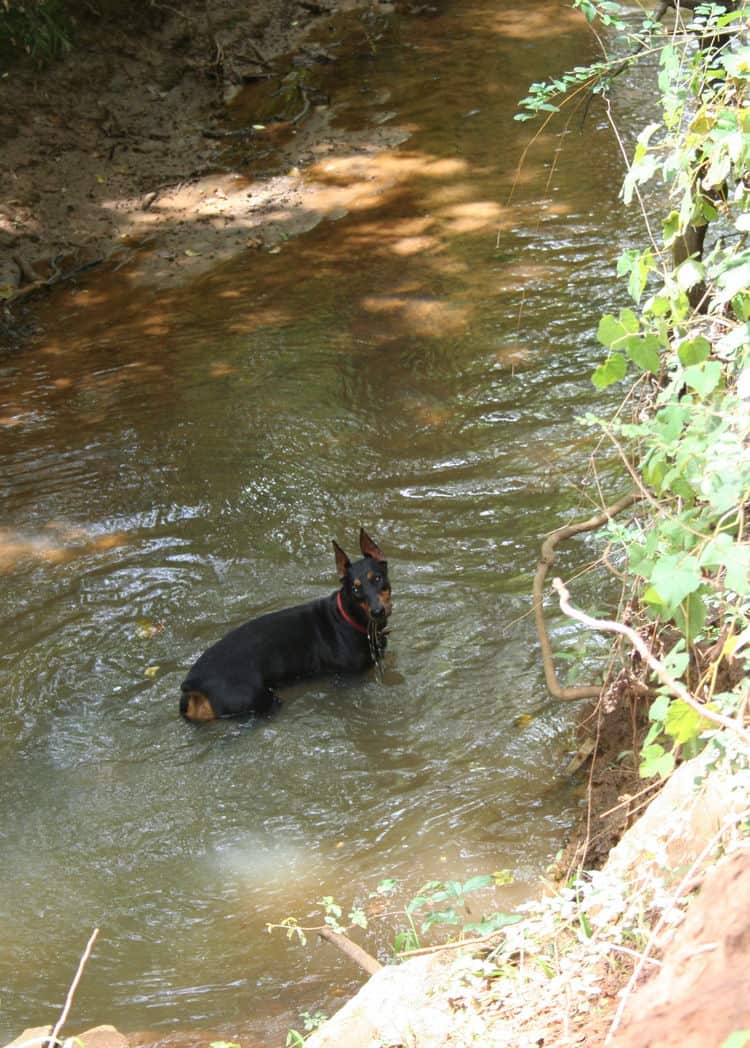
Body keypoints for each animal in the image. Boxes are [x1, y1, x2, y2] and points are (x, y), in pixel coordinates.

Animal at [180, 532, 391, 721]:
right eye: (355, 589)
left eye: (377, 578)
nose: (378, 611)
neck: (349, 618)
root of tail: (194, 685)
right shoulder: (349, 678)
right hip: (258, 701)